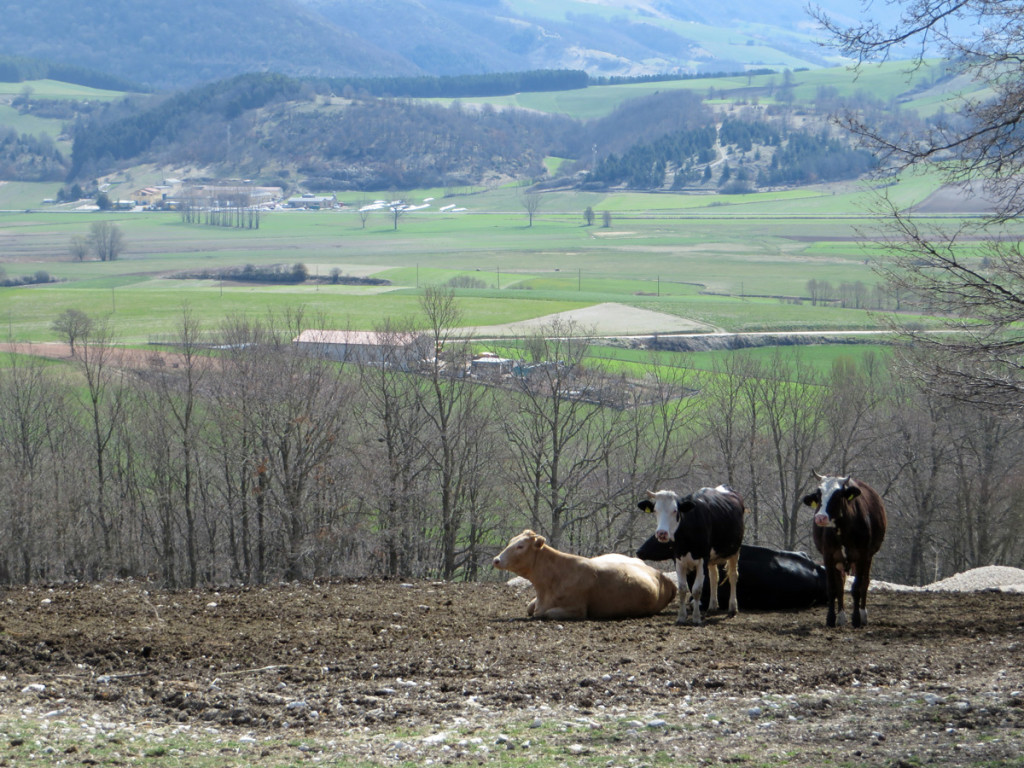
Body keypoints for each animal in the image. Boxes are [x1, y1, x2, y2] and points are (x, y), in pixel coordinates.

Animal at [491, 528, 675, 618]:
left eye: (520, 546)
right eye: (511, 541)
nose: (496, 560)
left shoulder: (576, 610)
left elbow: (545, 613)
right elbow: (531, 608)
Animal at [630, 487, 745, 626]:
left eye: (675, 510)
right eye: (656, 510)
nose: (662, 533)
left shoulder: (702, 559)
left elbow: (696, 590)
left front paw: (696, 618)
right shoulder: (678, 560)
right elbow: (682, 589)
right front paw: (681, 617)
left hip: (734, 550)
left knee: (733, 576)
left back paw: (732, 608)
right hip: (712, 559)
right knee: (714, 577)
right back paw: (712, 606)